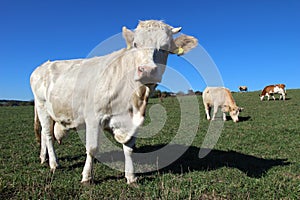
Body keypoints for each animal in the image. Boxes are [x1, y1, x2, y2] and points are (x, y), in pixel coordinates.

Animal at [29, 20, 199, 184]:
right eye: (135, 44)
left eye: (165, 48)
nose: (147, 70)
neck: (135, 97)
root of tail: (43, 65)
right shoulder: (93, 118)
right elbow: (92, 148)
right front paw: (86, 177)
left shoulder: (132, 121)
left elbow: (129, 148)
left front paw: (131, 177)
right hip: (42, 106)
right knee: (48, 135)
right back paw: (53, 163)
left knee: (44, 133)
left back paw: (43, 158)